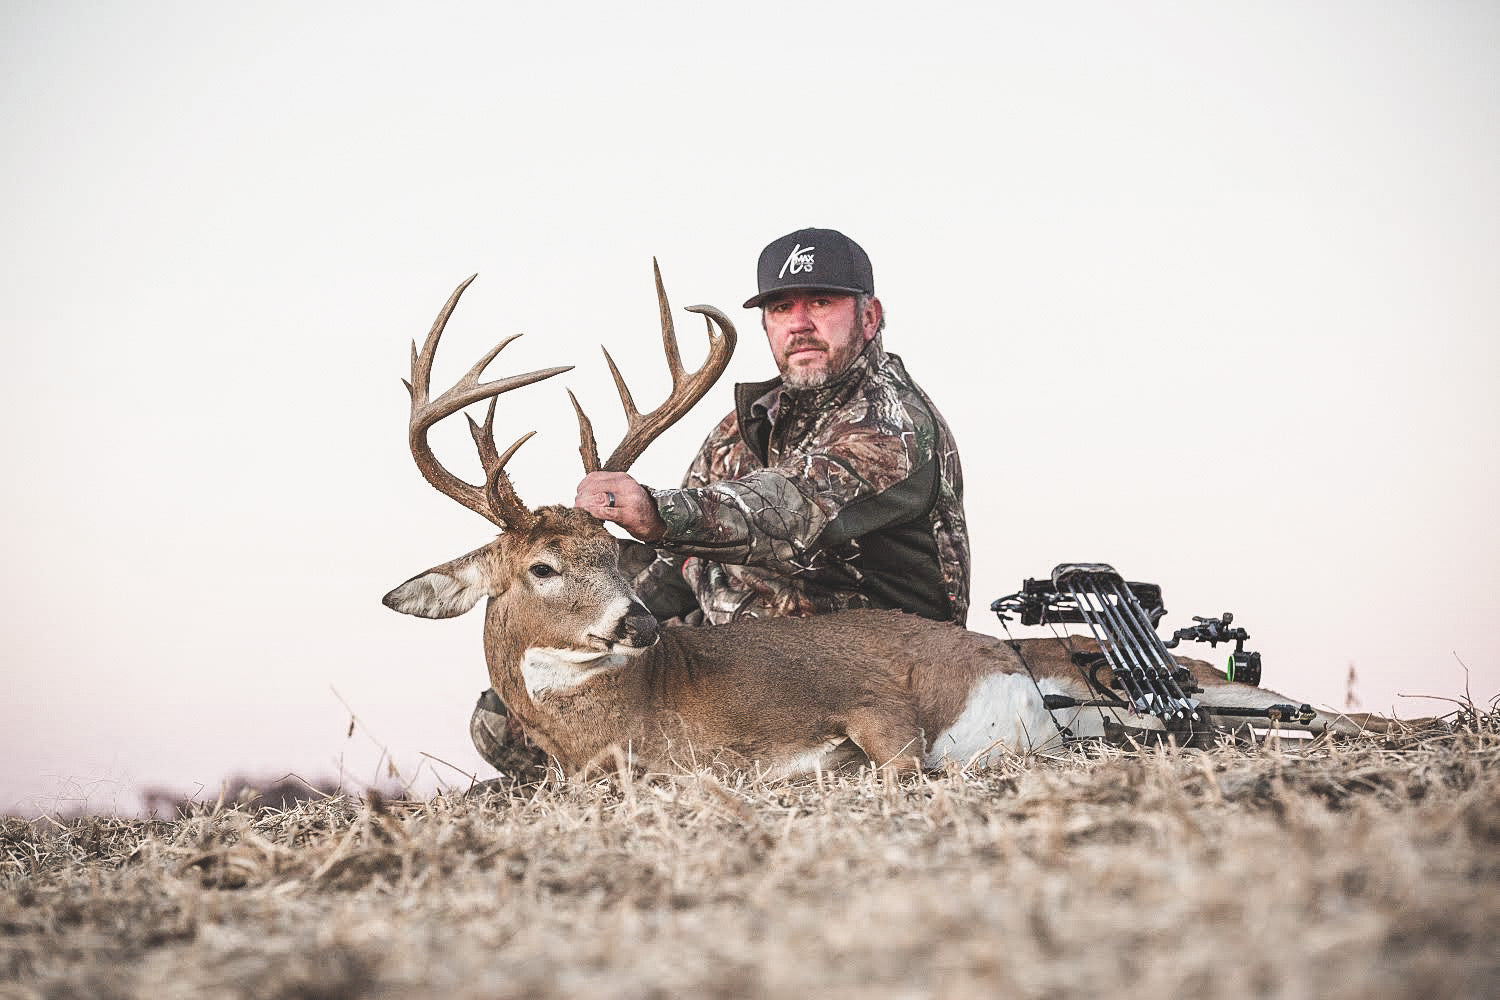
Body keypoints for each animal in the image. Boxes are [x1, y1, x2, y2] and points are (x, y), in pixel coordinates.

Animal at [382, 267, 1394, 778]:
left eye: (613, 553)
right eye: (543, 568)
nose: (634, 620)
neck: (641, 715)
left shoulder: (873, 700)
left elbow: (885, 750)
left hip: (1220, 690)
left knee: (1338, 715)